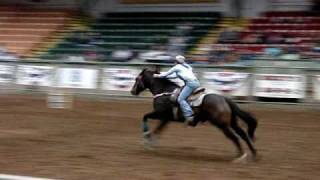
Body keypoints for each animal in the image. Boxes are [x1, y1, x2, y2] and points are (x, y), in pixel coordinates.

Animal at [130, 68, 258, 162]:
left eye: (137, 78)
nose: (132, 91)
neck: (164, 91)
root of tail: (224, 99)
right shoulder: (166, 118)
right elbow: (158, 130)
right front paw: (150, 143)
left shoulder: (159, 114)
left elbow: (145, 117)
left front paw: (146, 138)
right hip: (232, 122)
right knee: (243, 134)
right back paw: (253, 154)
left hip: (222, 125)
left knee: (235, 137)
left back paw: (240, 157)